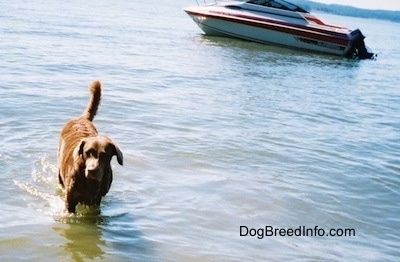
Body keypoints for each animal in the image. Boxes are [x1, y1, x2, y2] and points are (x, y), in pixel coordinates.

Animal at [58, 80, 122, 213]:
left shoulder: (96, 199)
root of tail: (82, 118)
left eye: (104, 155)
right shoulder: (70, 199)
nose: (92, 170)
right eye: (87, 152)